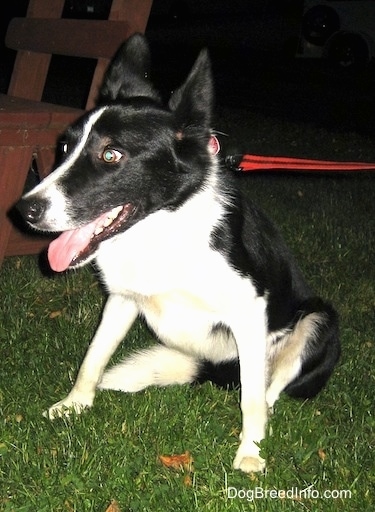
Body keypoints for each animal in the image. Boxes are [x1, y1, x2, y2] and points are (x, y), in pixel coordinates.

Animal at [16, 33, 340, 472]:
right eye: (65, 147)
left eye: (111, 154)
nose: (25, 210)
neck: (161, 231)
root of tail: (215, 369)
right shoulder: (121, 300)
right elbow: (93, 357)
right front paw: (74, 404)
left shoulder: (250, 312)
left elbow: (253, 400)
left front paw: (250, 451)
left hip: (320, 321)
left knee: (268, 387)